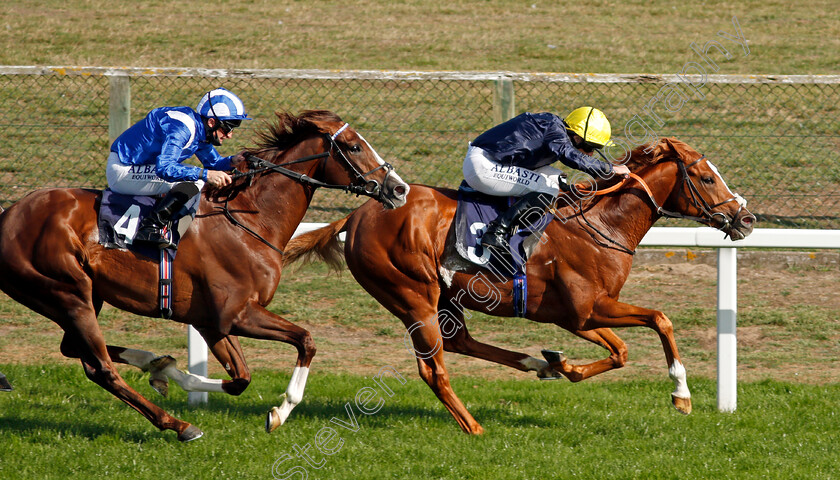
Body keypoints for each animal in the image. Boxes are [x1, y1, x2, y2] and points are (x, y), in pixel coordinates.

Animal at [0, 110, 406, 440]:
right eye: (354, 146)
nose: (398, 188)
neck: (249, 220)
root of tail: (8, 216)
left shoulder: (213, 320)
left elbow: (241, 379)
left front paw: (169, 372)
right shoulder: (237, 314)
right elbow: (306, 340)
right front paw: (281, 410)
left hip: (79, 297)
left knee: (75, 351)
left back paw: (154, 364)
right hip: (67, 293)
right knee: (100, 369)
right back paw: (180, 426)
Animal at [286, 138, 756, 436]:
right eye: (707, 178)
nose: (746, 218)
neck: (602, 222)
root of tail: (356, 215)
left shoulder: (576, 316)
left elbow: (621, 351)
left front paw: (563, 364)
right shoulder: (588, 310)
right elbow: (660, 319)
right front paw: (681, 394)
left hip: (445, 298)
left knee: (460, 342)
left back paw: (537, 364)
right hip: (412, 295)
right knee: (433, 367)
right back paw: (473, 426)